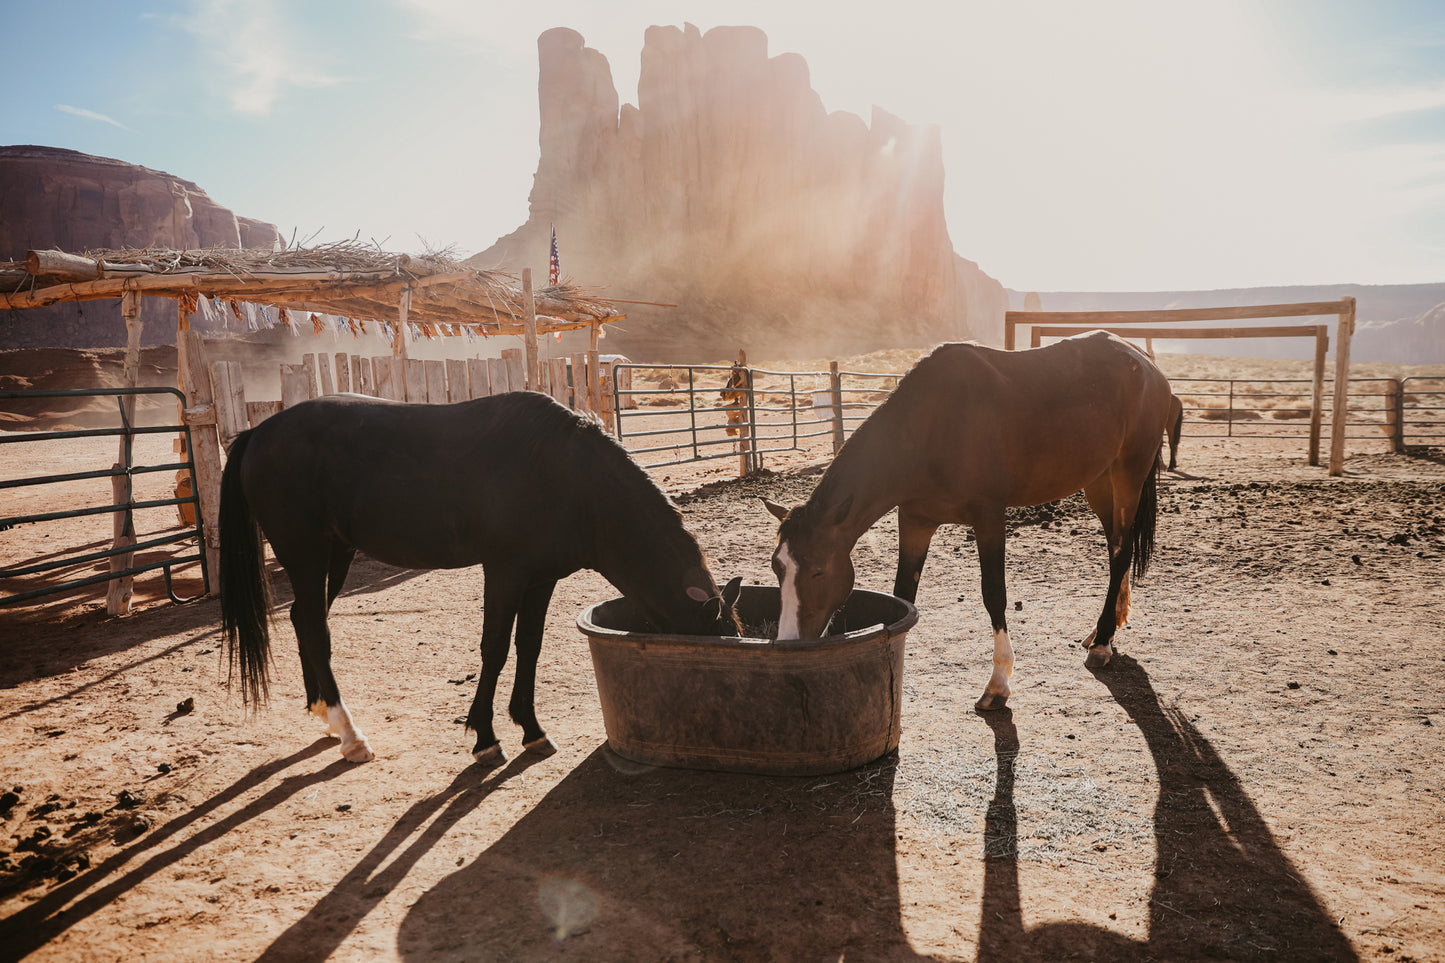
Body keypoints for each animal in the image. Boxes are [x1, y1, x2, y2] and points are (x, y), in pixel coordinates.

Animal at [768, 329, 1173, 705]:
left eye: (818, 571)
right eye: (777, 568)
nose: (788, 642)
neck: (932, 427)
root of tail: (1146, 364)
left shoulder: (988, 516)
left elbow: (994, 593)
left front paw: (998, 682)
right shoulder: (915, 521)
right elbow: (904, 596)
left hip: (1128, 474)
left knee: (1121, 552)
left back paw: (1103, 642)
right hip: (1099, 482)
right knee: (1116, 546)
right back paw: (1106, 628)